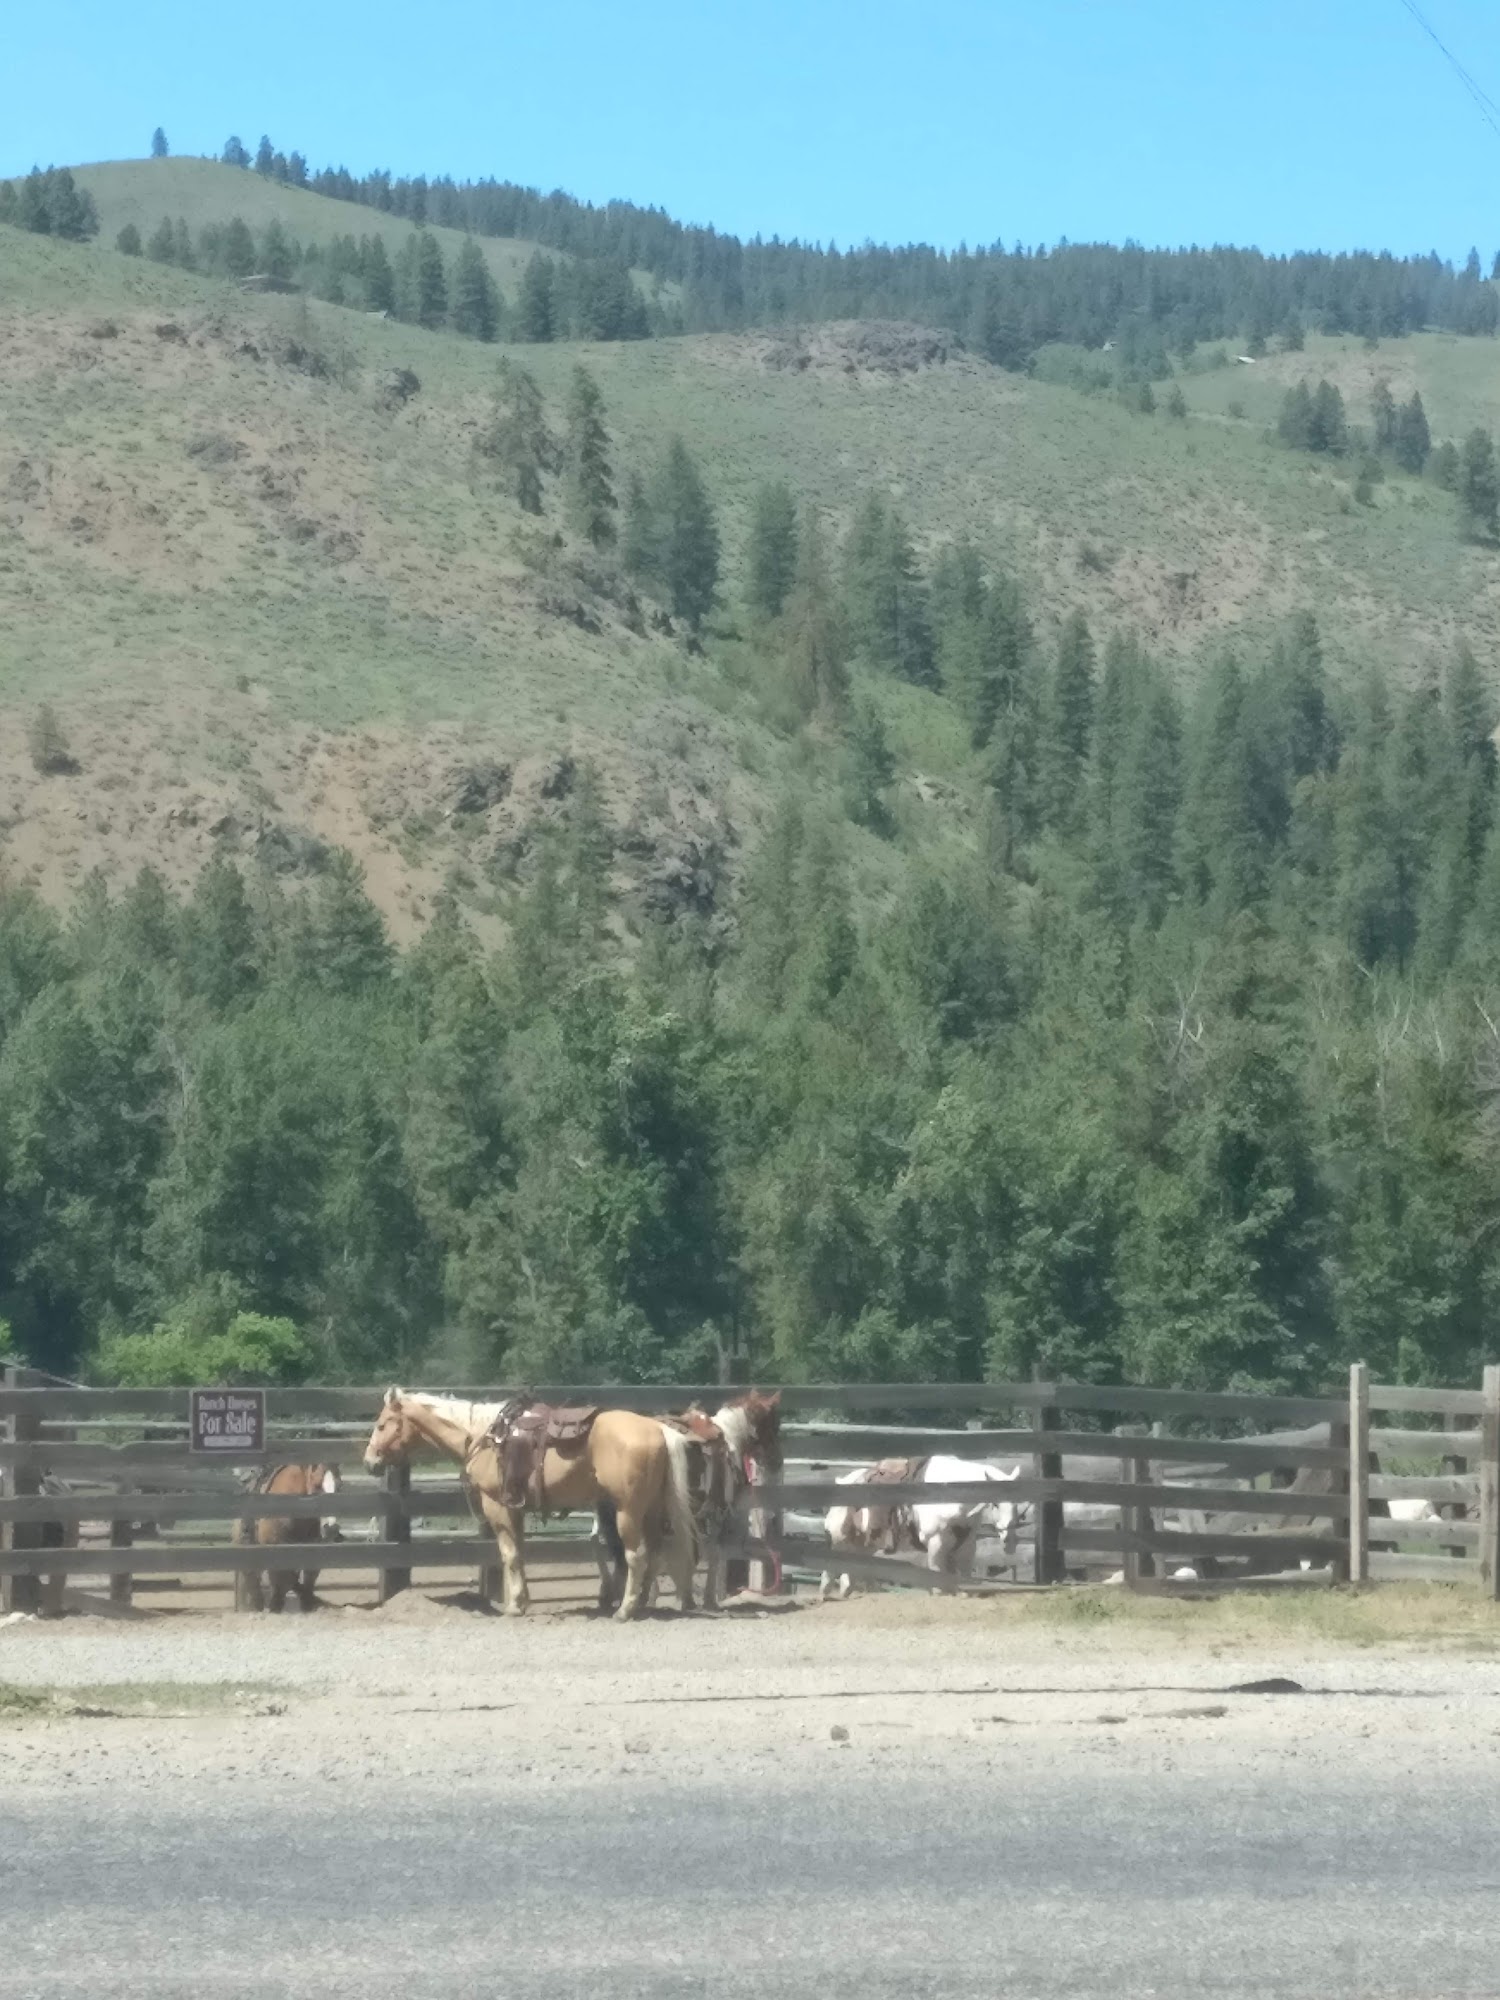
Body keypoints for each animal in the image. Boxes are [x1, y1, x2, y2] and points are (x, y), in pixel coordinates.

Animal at [233, 1464, 341, 1612]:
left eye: (339, 1486)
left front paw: (308, 1603)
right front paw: (275, 1606)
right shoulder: (274, 1546)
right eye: (317, 1485)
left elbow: (307, 1578)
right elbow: (282, 1578)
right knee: (250, 1578)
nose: (331, 1528)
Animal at [361, 1390, 698, 1621]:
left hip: (627, 1511)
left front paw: (513, 1607)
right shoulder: (515, 1509)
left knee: (636, 1555)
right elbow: (519, 1555)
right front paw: (522, 1601)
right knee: (653, 1553)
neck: (482, 1435)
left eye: (382, 1424)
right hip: (651, 1510)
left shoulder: (497, 1507)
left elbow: (509, 1556)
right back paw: (642, 1605)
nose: (369, 1462)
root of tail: (658, 1429)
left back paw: (625, 1610)